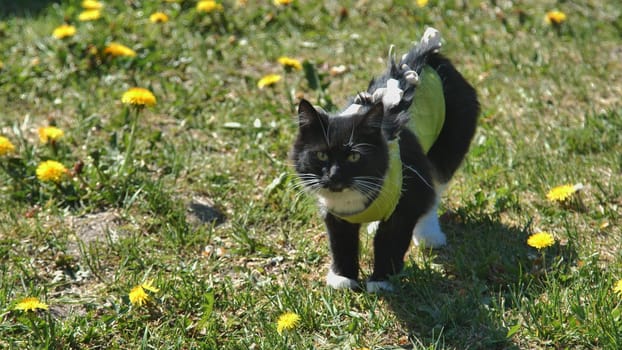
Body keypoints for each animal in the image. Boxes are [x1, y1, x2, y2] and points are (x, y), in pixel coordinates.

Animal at [290, 27, 480, 292]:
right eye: (321, 154)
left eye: (354, 156)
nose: (334, 175)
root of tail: (429, 55)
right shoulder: (335, 214)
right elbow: (341, 243)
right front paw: (343, 278)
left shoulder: (409, 198)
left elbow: (390, 241)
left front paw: (381, 280)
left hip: (447, 148)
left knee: (435, 191)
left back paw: (429, 235)